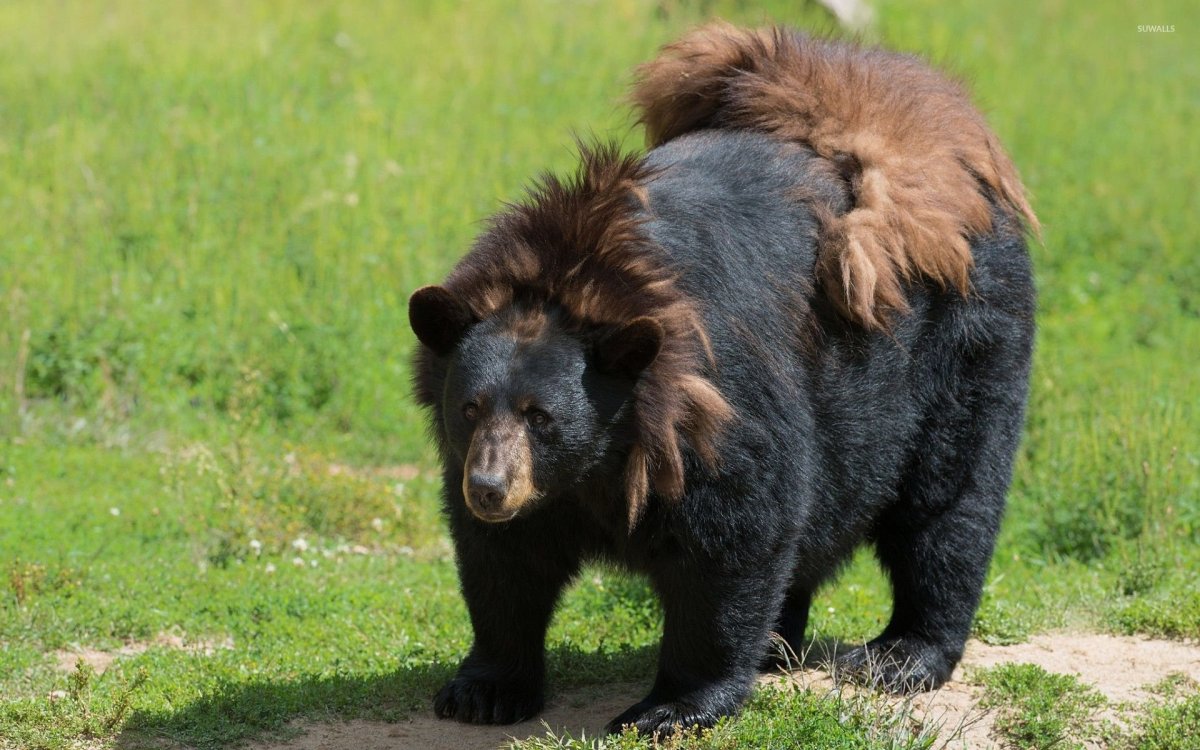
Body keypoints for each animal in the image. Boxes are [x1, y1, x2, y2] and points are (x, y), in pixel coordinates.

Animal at [408, 22, 1037, 736]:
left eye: (541, 415)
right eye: (469, 407)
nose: (489, 487)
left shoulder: (713, 404)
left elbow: (734, 538)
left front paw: (669, 706)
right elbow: (502, 563)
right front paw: (483, 688)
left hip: (963, 340)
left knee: (948, 500)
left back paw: (901, 655)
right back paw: (780, 645)